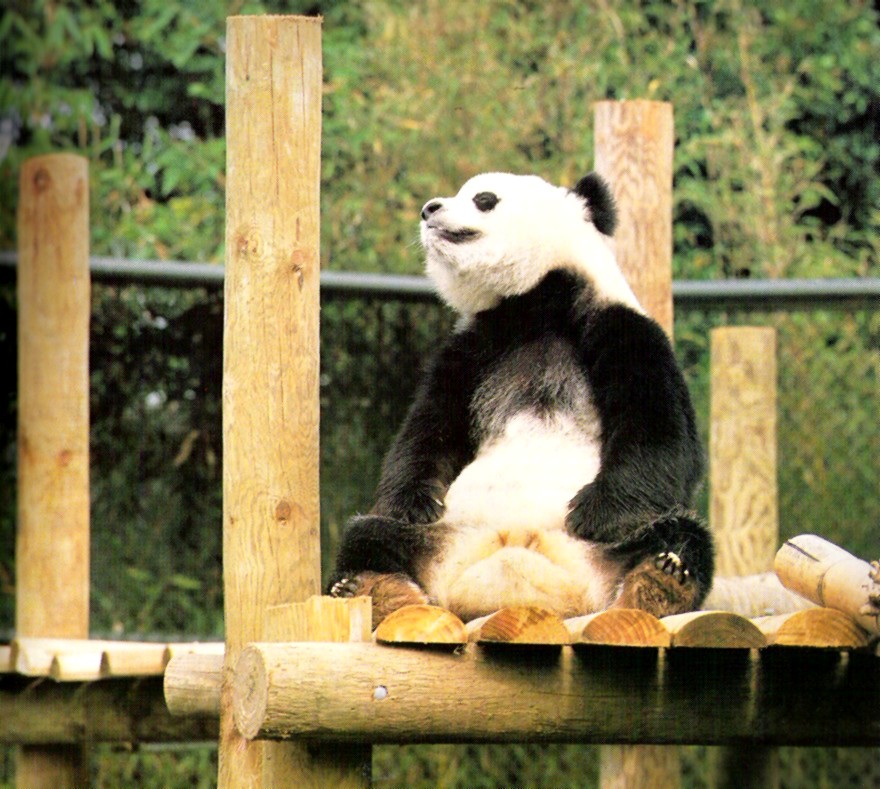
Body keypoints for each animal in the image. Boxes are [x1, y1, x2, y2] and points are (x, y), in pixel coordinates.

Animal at [328, 171, 714, 625]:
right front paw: (413, 502)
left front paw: (593, 512)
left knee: (683, 535)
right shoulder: (474, 350)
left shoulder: (620, 327)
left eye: (484, 199)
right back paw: (374, 590)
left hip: (618, 546)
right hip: (440, 540)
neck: (534, 303)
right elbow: (428, 432)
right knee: (366, 536)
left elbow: (663, 433)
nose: (429, 209)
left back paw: (661, 581)